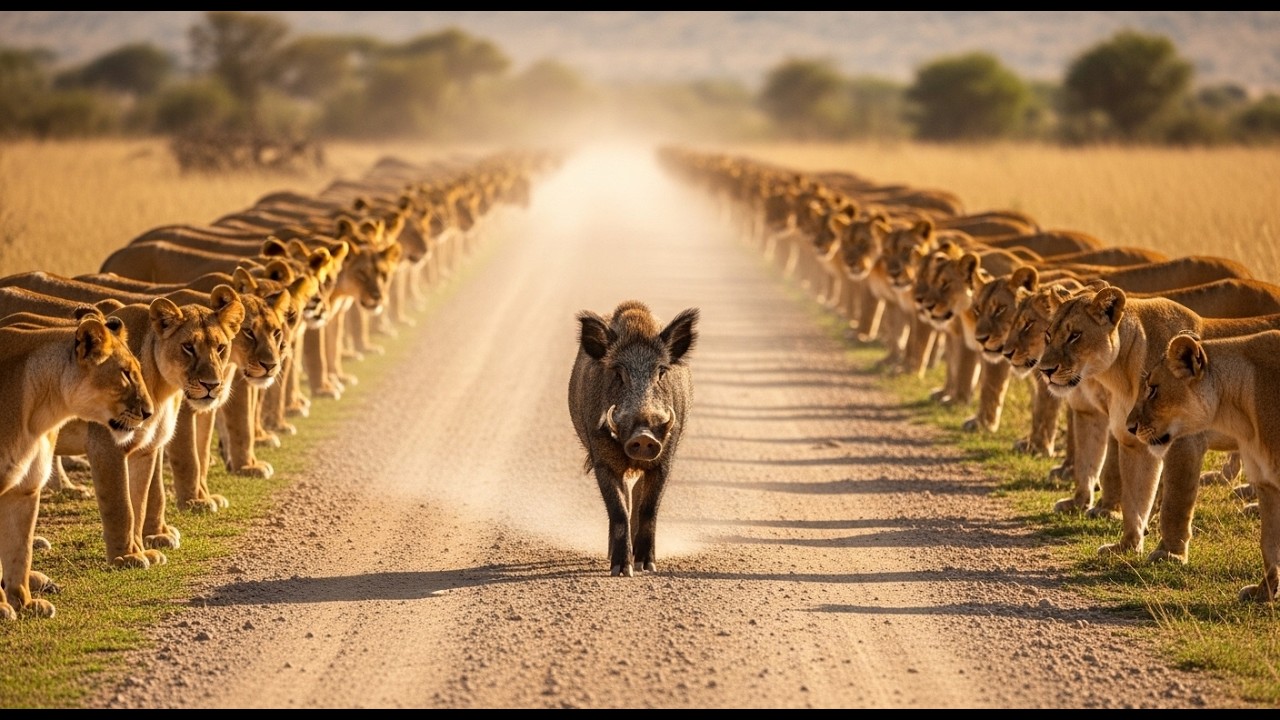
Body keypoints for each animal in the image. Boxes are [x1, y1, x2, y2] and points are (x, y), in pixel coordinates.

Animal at [0, 309, 154, 619]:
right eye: (125, 373)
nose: (149, 412)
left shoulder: (25, 490)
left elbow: (19, 552)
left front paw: (24, 604)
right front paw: (3, 607)